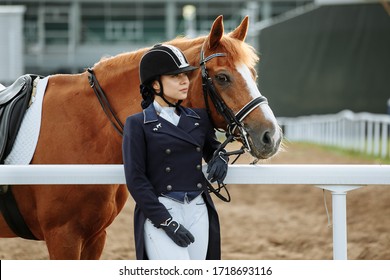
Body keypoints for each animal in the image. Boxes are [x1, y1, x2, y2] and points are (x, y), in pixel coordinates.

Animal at [0, 16, 280, 260]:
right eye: (222, 77)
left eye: (253, 74)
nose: (272, 136)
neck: (84, 127)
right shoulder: (63, 237)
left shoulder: (94, 237)